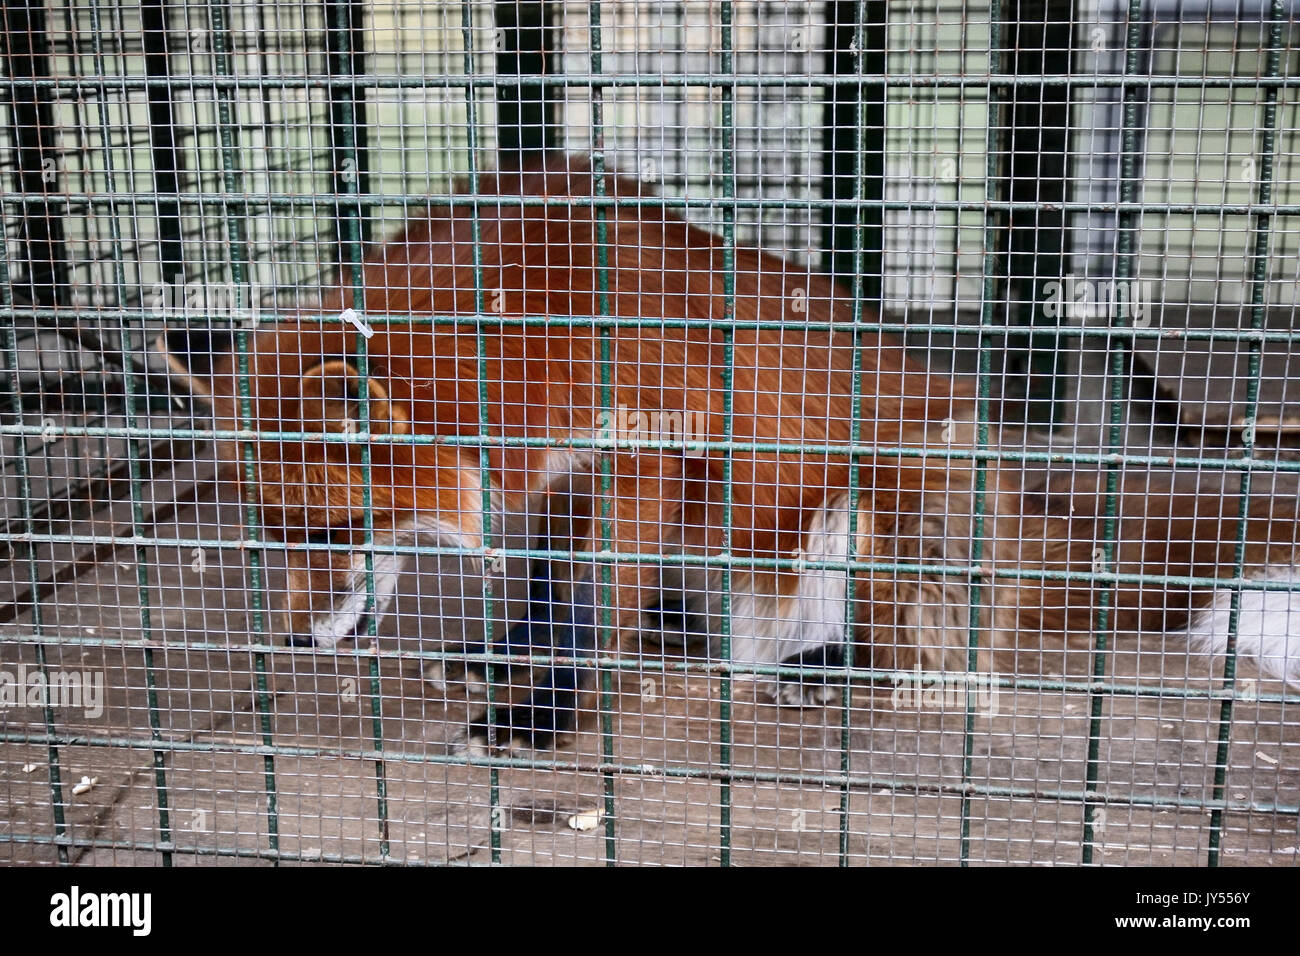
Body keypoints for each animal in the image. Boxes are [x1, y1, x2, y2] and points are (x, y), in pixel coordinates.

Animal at [159, 155, 1300, 753]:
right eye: (271, 532)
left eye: (332, 529)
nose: (297, 639)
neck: (521, 325)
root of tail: (1032, 528)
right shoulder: (568, 476)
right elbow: (551, 586)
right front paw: (508, 653)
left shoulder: (650, 450)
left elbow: (588, 610)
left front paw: (545, 712)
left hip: (884, 498)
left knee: (927, 657)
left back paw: (819, 668)